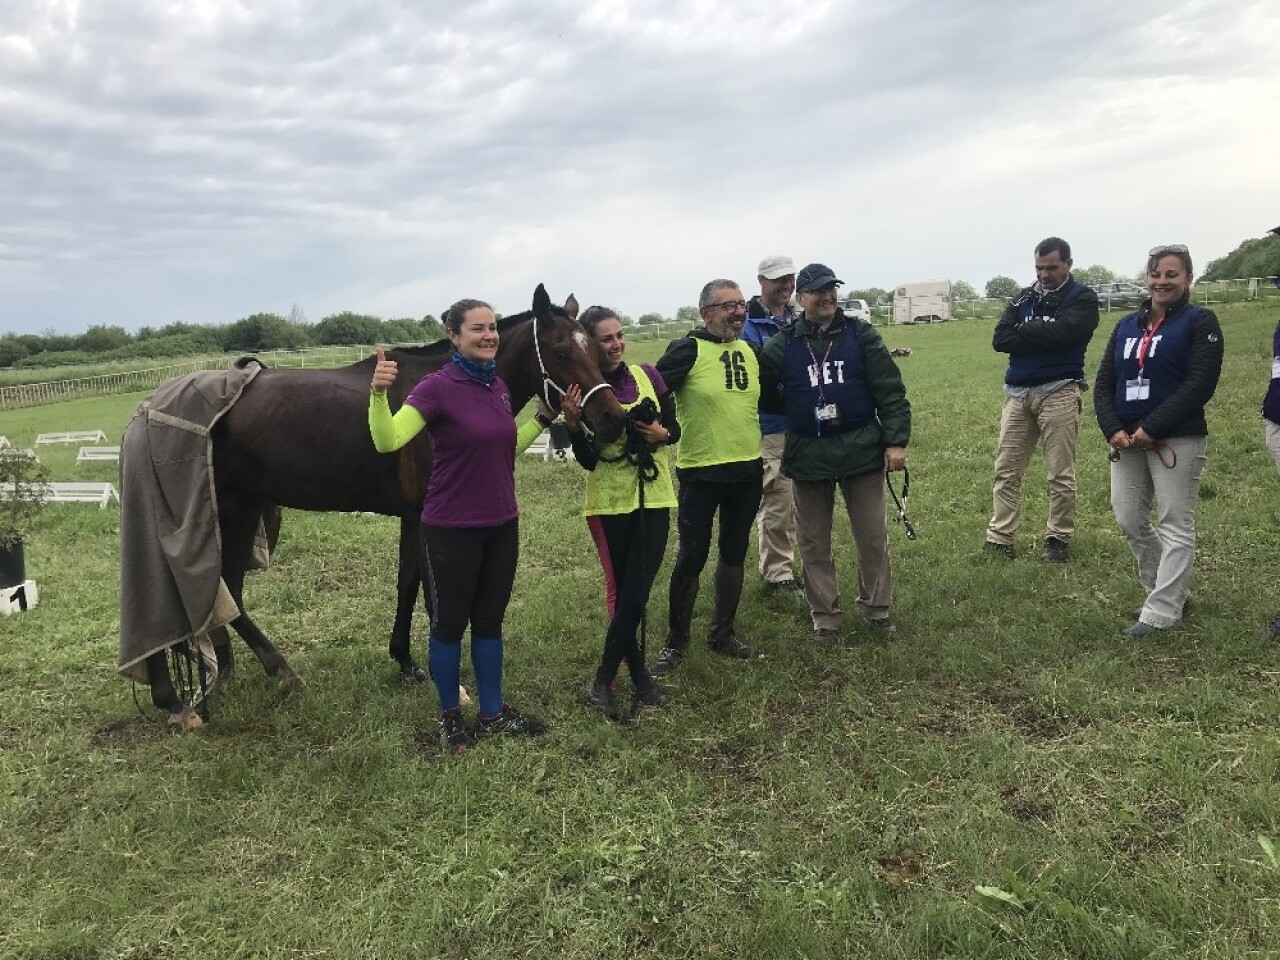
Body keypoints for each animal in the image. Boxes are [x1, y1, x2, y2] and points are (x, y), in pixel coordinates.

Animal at [145, 285, 624, 727]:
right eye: (561, 352)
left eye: (593, 347)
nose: (612, 418)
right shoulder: (429, 520)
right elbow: (432, 595)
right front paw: (444, 678)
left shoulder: (412, 518)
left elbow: (406, 584)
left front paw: (406, 662)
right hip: (231, 509)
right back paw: (217, 687)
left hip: (245, 510)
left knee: (224, 590)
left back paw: (225, 673)